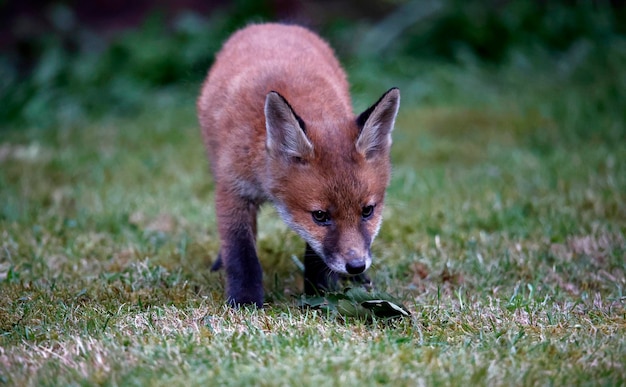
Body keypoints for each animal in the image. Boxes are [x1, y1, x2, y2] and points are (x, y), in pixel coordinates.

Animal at [196, 23, 400, 310]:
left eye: (368, 211)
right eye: (320, 215)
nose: (356, 265)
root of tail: (271, 25)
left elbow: (315, 254)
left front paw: (321, 293)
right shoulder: (233, 188)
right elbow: (241, 253)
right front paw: (245, 301)